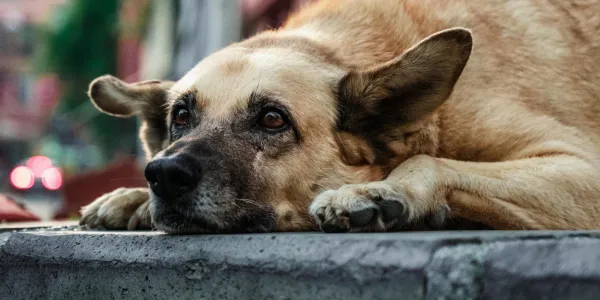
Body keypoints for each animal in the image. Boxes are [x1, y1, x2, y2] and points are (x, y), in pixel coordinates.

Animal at [78, 0, 600, 233]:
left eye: (273, 119)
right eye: (181, 116)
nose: (164, 174)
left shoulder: (582, 167)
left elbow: (430, 161)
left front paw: (380, 190)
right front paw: (132, 198)